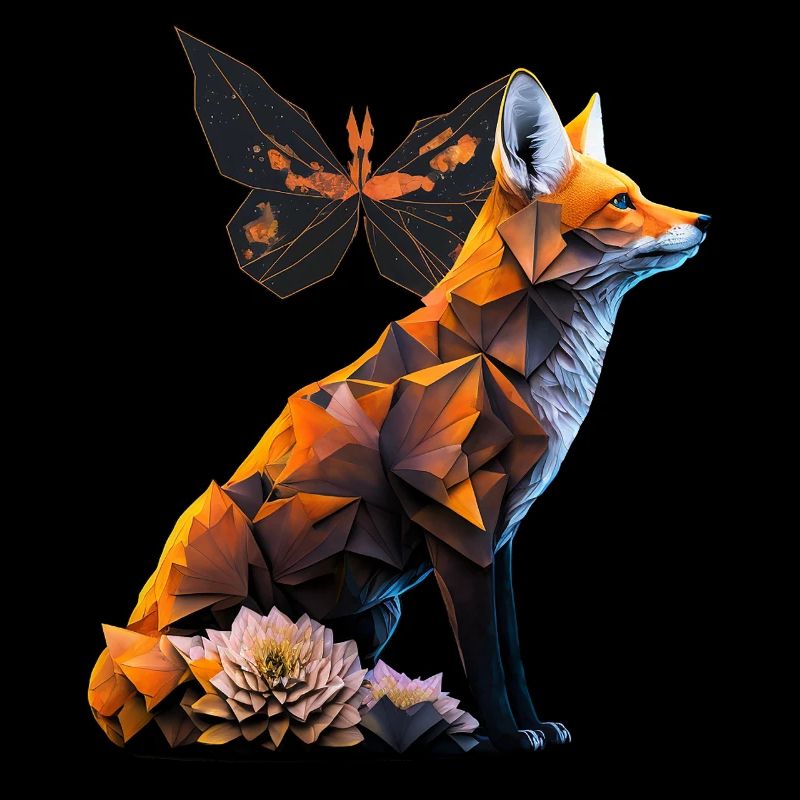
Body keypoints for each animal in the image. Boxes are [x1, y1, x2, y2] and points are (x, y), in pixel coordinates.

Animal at [89, 68, 709, 753]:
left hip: (378, 612)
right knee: (208, 703)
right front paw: (506, 736)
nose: (705, 220)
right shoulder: (459, 526)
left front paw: (535, 725)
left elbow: (513, 652)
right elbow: (485, 659)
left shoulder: (501, 539)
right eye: (622, 202)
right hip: (229, 562)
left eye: (641, 192)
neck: (498, 351)